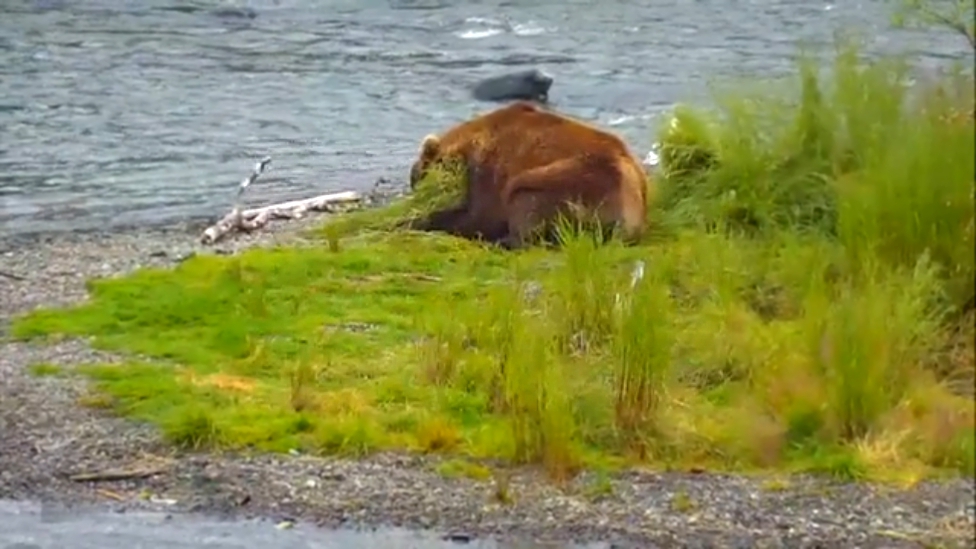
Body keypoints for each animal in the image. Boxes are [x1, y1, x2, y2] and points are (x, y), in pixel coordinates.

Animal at [408, 100, 652, 248]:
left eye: (416, 177)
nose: (414, 193)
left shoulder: (488, 172)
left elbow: (476, 217)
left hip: (574, 184)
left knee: (526, 202)